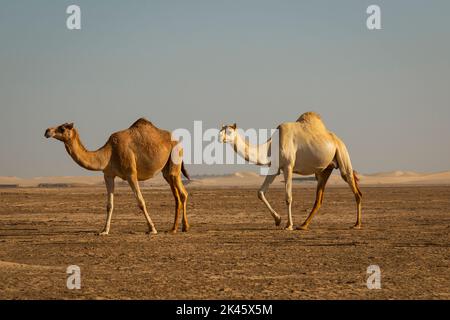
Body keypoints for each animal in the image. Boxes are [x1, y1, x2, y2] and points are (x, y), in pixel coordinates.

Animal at [44, 117, 188, 235]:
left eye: (62, 128)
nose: (47, 131)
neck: (109, 153)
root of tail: (178, 142)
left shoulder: (131, 173)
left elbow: (141, 202)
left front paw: (152, 229)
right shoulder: (108, 175)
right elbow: (109, 205)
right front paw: (104, 231)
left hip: (174, 164)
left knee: (181, 193)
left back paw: (180, 228)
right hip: (166, 171)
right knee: (178, 195)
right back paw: (177, 228)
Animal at [220, 112, 364, 230]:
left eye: (229, 132)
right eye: (221, 130)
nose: (219, 137)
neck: (271, 147)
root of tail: (338, 140)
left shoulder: (288, 166)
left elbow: (288, 197)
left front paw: (289, 225)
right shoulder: (275, 168)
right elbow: (260, 192)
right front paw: (278, 220)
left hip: (342, 154)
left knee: (354, 188)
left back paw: (357, 224)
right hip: (324, 169)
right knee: (319, 198)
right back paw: (303, 225)